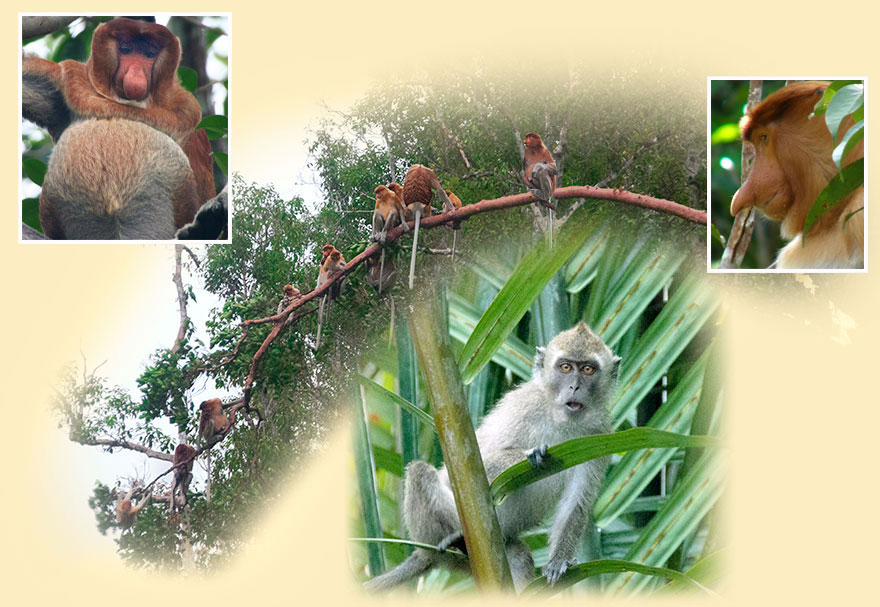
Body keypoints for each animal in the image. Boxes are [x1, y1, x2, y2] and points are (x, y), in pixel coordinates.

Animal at [364, 324, 620, 592]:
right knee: (420, 473)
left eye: (588, 369)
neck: (561, 418)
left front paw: (558, 561)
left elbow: (577, 500)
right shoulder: (523, 407)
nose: (574, 387)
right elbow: (474, 460)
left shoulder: (598, 433)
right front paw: (531, 454)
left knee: (519, 555)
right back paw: (453, 540)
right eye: (566, 367)